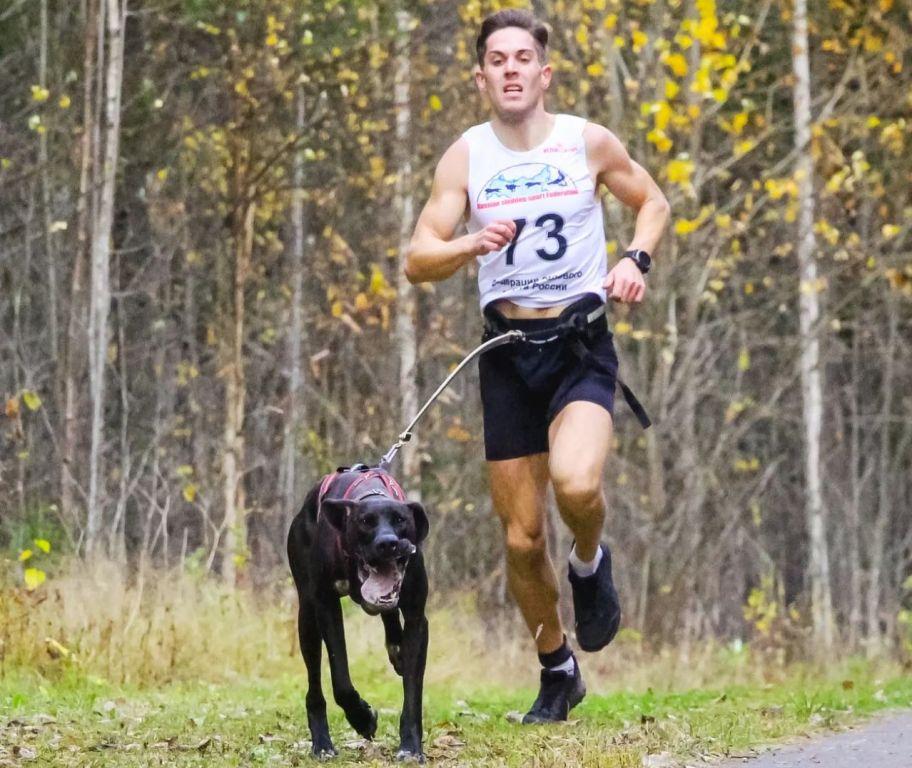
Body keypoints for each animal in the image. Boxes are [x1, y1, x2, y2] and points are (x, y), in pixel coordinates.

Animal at [286, 464, 430, 760]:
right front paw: (362, 717)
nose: (388, 543)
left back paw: (397, 650)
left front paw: (410, 746)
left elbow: (413, 691)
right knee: (314, 683)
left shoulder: (416, 617)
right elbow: (340, 678)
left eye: (400, 520)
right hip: (307, 615)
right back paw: (322, 743)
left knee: (390, 619)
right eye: (365, 522)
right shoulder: (327, 606)